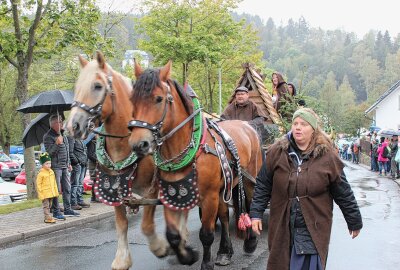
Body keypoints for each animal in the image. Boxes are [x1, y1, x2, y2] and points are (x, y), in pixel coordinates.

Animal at [65, 52, 170, 270]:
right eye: (77, 87)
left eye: (97, 86)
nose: (72, 126)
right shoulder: (114, 187)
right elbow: (121, 224)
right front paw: (122, 260)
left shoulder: (152, 188)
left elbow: (147, 224)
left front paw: (159, 247)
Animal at [128, 61, 264, 270]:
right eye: (132, 99)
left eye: (158, 99)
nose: (138, 144)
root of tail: (247, 126)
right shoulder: (172, 194)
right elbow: (173, 235)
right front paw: (187, 255)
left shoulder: (208, 197)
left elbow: (206, 234)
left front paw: (206, 263)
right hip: (223, 187)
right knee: (225, 215)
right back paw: (225, 251)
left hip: (249, 178)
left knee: (249, 203)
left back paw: (250, 242)